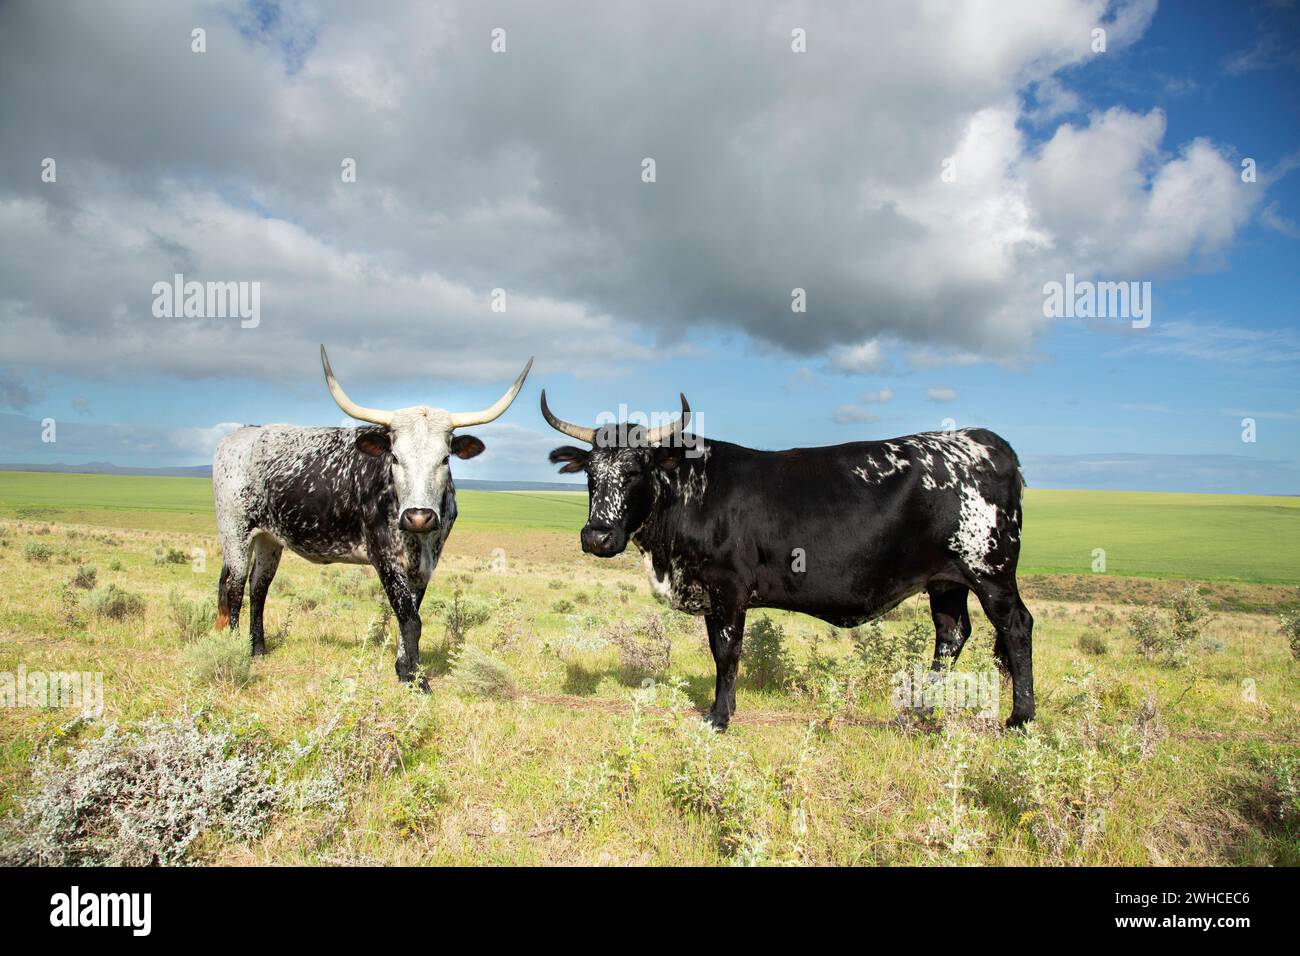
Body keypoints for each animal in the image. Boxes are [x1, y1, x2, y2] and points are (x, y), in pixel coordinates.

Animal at [212, 346, 532, 686]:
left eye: (445, 458)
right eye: (395, 457)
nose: (419, 517)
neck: (418, 538)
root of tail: (238, 436)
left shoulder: (426, 562)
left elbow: (412, 613)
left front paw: (404, 670)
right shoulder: (385, 557)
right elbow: (409, 618)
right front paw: (418, 680)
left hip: (269, 539)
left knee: (258, 587)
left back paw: (257, 650)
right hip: (235, 533)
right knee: (234, 587)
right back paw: (234, 649)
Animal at [542, 392, 1033, 730]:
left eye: (634, 470)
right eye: (590, 474)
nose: (597, 535)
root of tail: (985, 441)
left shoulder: (729, 588)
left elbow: (727, 651)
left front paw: (720, 717)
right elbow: (719, 650)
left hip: (990, 570)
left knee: (1016, 627)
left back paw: (1020, 718)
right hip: (946, 580)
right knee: (951, 633)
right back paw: (920, 709)